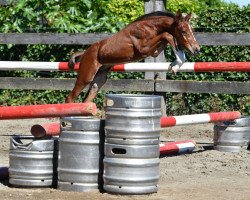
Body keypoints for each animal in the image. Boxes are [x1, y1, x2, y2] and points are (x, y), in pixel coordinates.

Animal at [65, 9, 200, 102]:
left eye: (191, 31)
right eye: (183, 31)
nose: (197, 49)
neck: (149, 27)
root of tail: (85, 53)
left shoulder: (154, 51)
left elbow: (170, 38)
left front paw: (175, 64)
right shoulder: (144, 49)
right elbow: (168, 35)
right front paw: (175, 65)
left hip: (99, 79)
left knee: (88, 98)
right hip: (86, 76)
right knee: (70, 97)